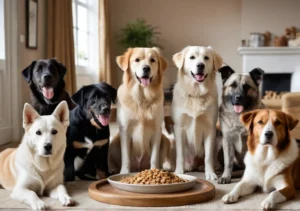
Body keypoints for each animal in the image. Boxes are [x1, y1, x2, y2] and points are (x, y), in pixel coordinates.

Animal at [171, 46, 223, 180]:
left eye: (206, 58)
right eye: (192, 57)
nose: (200, 65)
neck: (196, 94)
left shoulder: (210, 128)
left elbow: (208, 156)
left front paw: (210, 173)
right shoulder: (179, 127)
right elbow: (180, 154)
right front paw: (179, 172)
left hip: (219, 139)